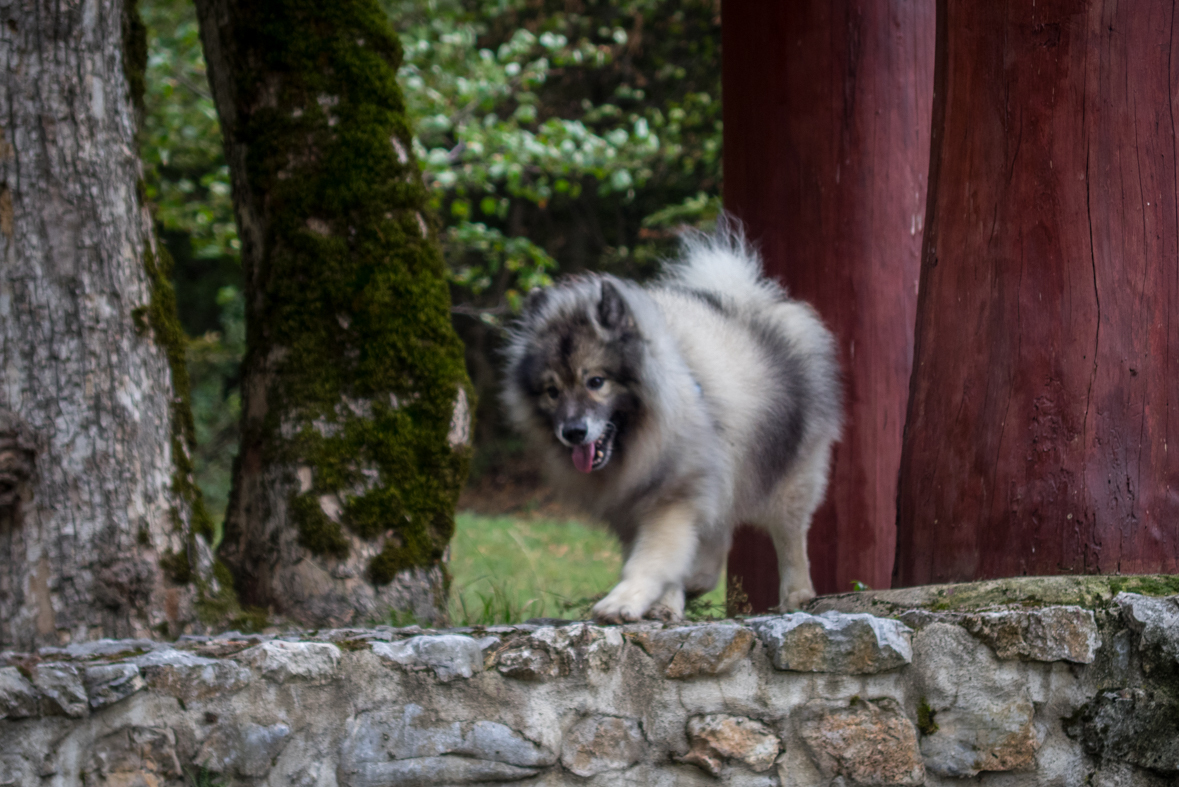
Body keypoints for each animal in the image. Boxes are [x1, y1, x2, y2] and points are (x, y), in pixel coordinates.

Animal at [502, 226, 844, 622]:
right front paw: (664, 603)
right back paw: (697, 581)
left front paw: (625, 600)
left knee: (790, 535)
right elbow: (655, 553)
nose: (572, 433)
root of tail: (749, 299)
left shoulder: (673, 495)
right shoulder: (634, 505)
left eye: (596, 382)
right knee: (720, 532)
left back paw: (797, 594)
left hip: (790, 474)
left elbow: (652, 557)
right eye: (552, 392)